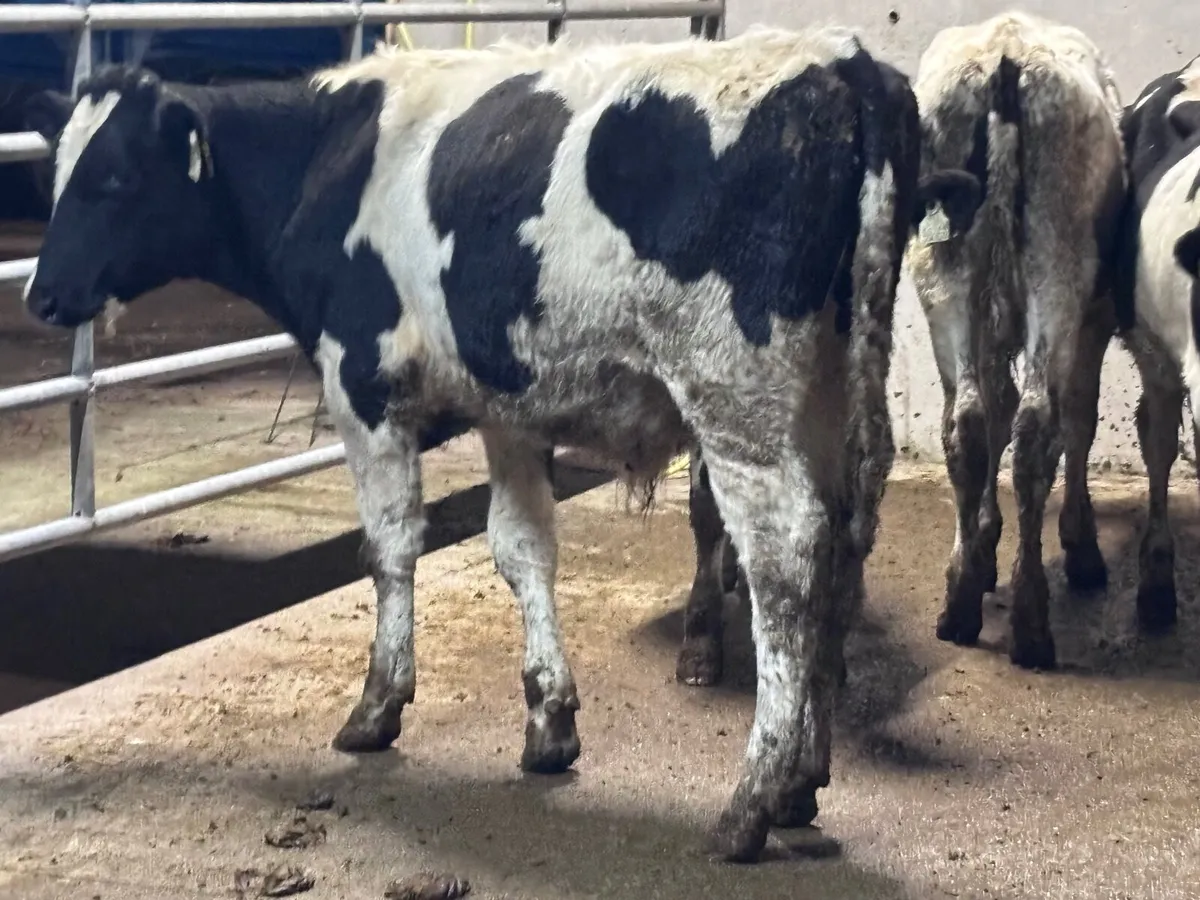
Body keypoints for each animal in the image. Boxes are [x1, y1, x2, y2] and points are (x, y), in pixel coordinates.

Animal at [21, 27, 979, 861]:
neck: (325, 161)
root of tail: (844, 63)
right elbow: (523, 550)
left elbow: (391, 548)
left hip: (738, 399)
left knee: (785, 568)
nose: (41, 293)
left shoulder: (361, 384)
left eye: (113, 179)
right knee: (841, 548)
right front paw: (549, 722)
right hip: (830, 393)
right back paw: (803, 780)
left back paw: (750, 804)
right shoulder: (509, 405)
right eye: (58, 174)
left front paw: (378, 706)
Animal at [903, 12, 1127, 670]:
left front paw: (982, 548)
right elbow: (1080, 419)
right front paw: (1080, 544)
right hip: (1060, 270)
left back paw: (959, 604)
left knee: (969, 424)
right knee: (1037, 429)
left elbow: (992, 407)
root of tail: (1007, 50)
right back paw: (1031, 623)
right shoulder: (1095, 317)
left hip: (944, 275)